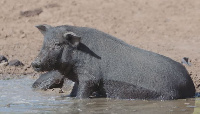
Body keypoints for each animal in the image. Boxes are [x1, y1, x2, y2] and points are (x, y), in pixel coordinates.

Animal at [32, 24, 195, 100]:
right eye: (44, 43)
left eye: (57, 44)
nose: (34, 63)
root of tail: (191, 87)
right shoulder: (80, 78)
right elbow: (74, 91)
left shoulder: (90, 77)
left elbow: (82, 94)